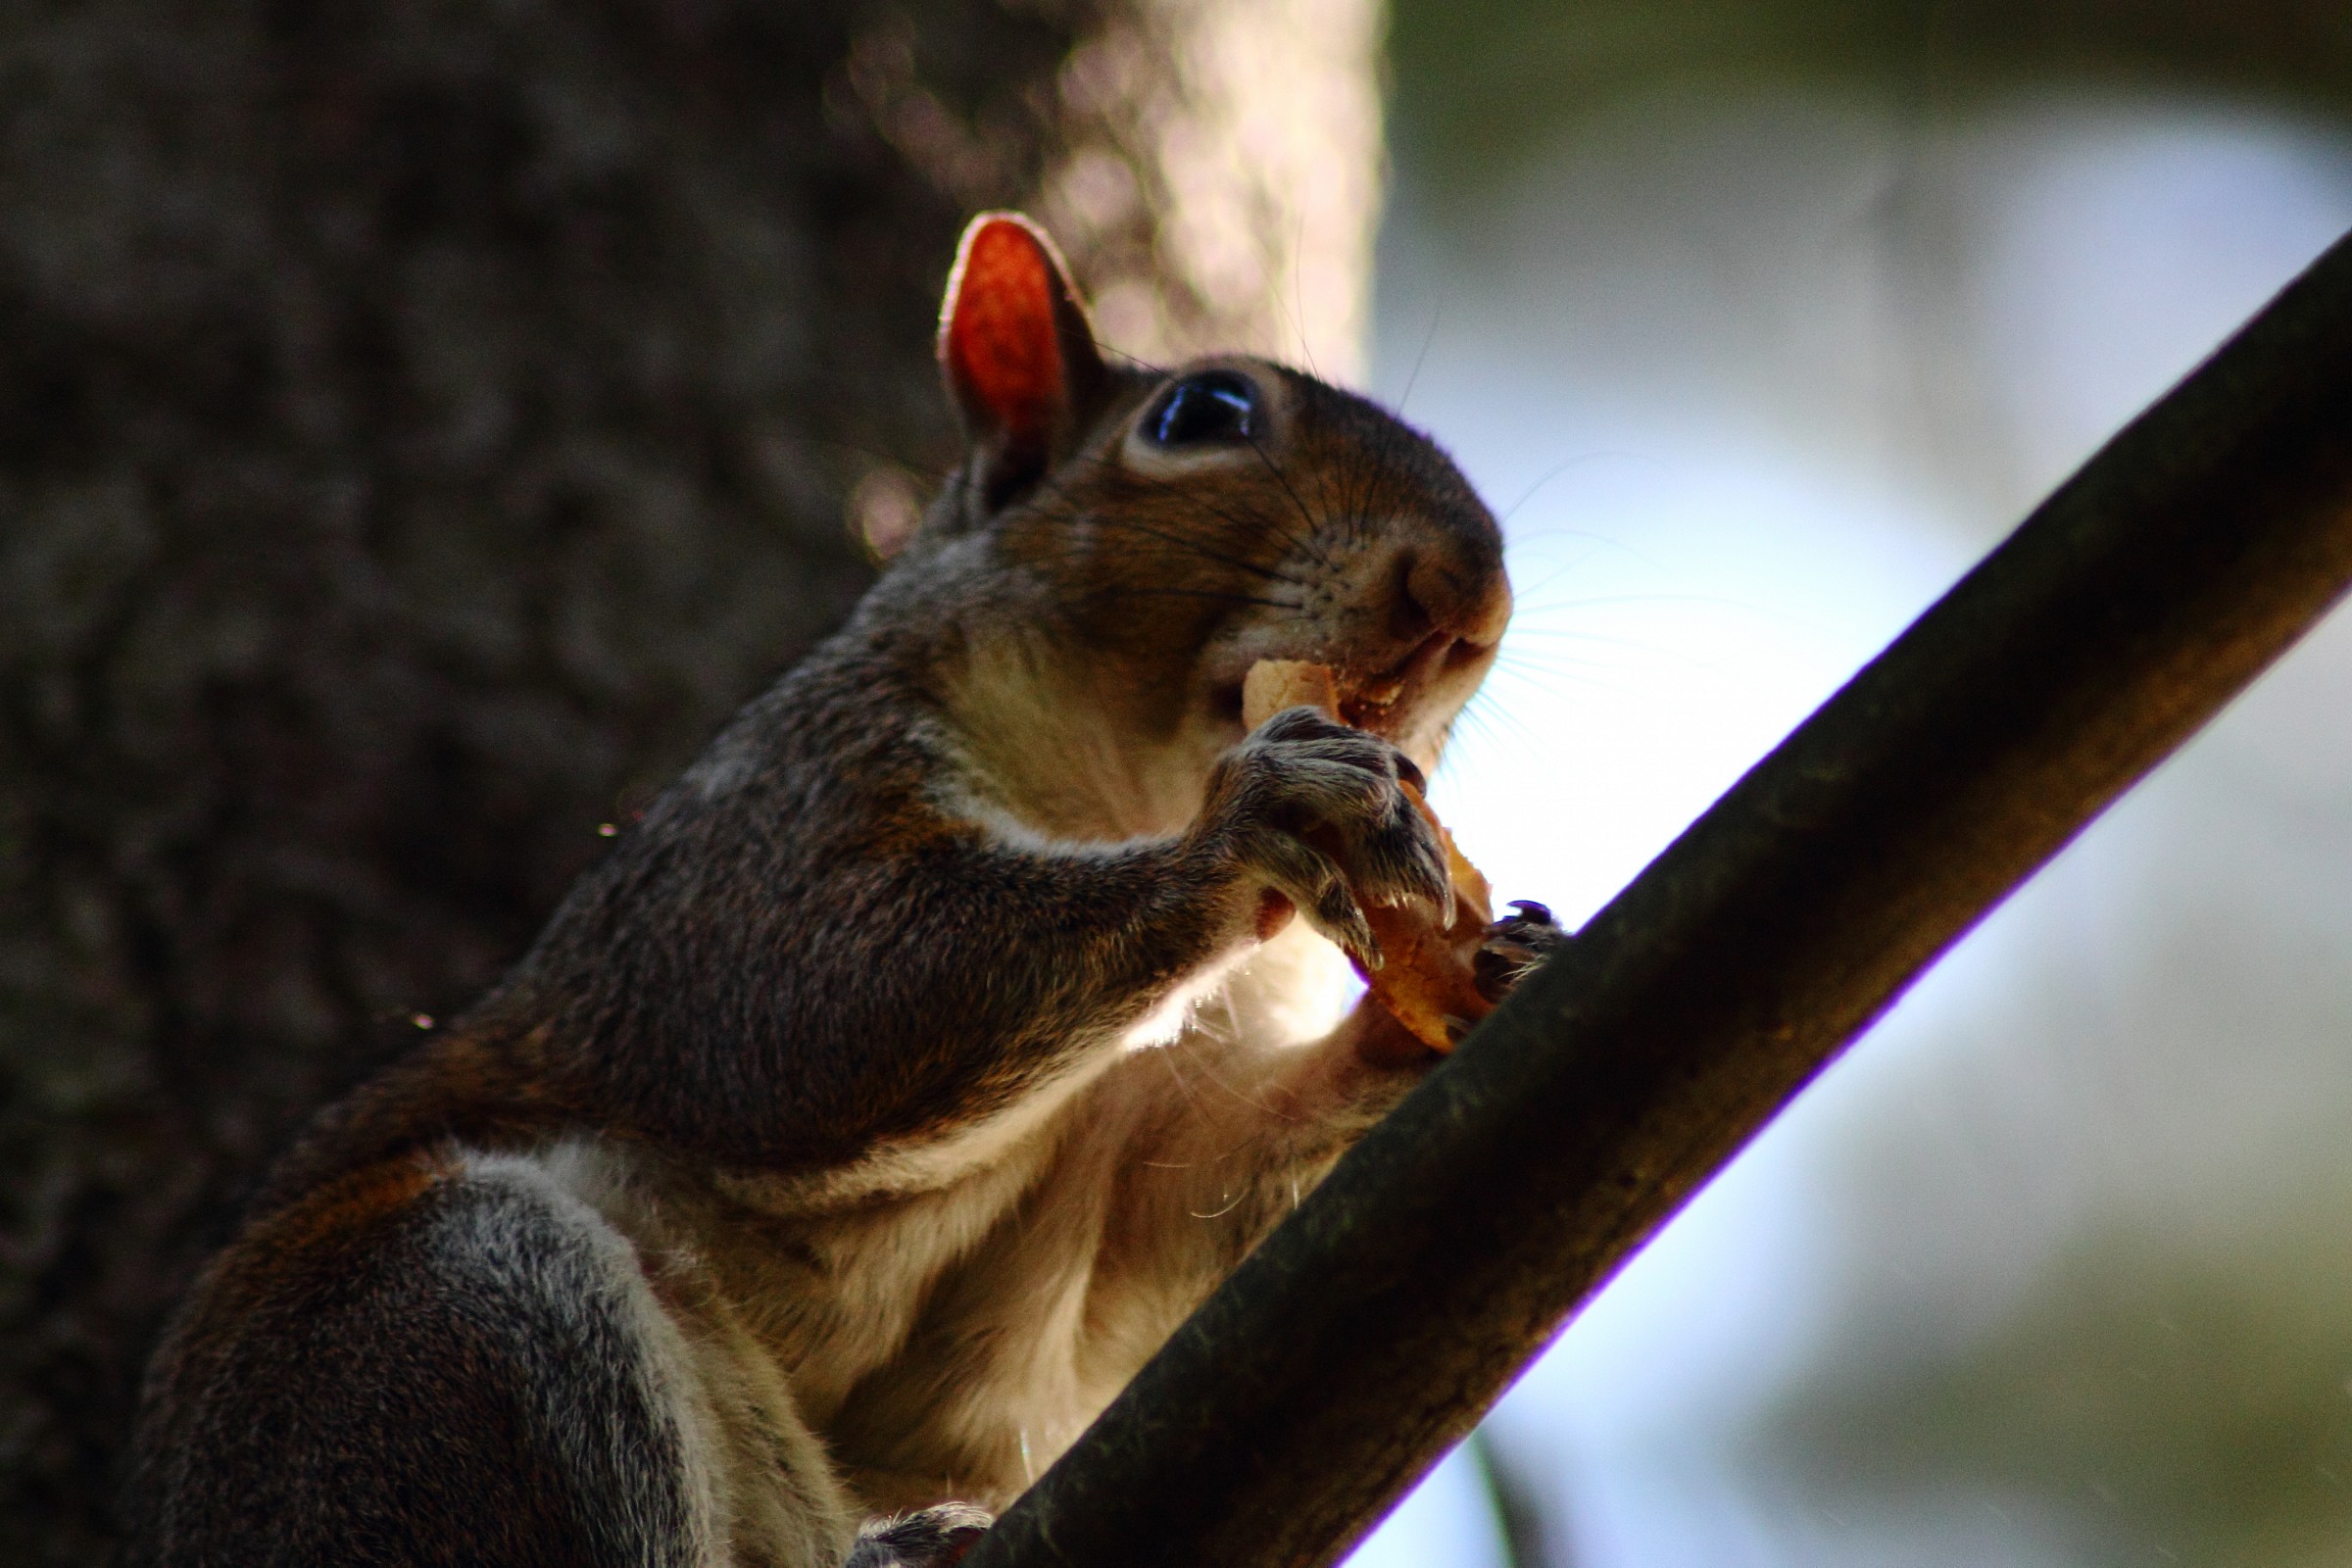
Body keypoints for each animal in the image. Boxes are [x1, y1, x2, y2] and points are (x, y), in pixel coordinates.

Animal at [123, 212, 1564, 1568]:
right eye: (1202, 414)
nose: (1468, 591)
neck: (1115, 791)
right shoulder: (764, 824)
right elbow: (813, 1006)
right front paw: (1261, 818)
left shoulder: (1137, 1156)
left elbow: (1172, 1241)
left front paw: (1460, 990)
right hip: (426, 1328)